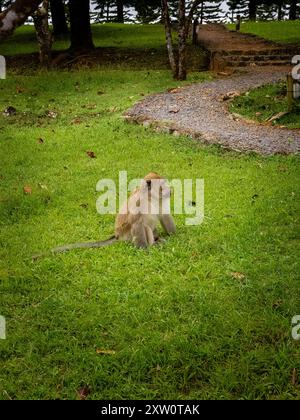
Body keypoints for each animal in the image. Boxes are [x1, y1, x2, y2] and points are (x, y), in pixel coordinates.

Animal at [33, 171, 176, 258]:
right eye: (163, 185)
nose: (170, 191)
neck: (150, 198)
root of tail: (117, 236)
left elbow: (164, 215)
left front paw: (175, 235)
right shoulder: (138, 203)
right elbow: (137, 223)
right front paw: (144, 249)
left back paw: (158, 239)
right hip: (128, 236)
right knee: (143, 226)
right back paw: (154, 244)